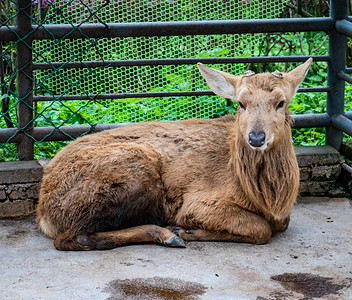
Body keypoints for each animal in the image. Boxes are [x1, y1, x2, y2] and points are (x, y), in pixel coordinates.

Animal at [36, 58, 310, 251]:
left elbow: (280, 224)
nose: (256, 138)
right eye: (241, 103)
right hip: (135, 166)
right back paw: (166, 234)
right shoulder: (199, 203)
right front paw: (185, 230)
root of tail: (43, 214)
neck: (270, 198)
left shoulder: (281, 215)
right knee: (72, 238)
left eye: (281, 102)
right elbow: (261, 229)